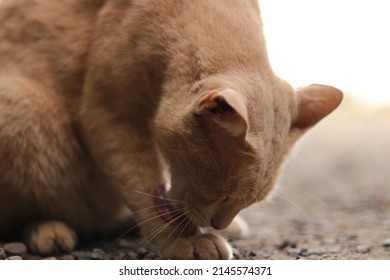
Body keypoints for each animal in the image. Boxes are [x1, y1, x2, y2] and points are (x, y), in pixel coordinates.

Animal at [0, 0, 342, 260]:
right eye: (223, 193)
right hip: (28, 115)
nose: (219, 224)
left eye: (251, 200)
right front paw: (183, 238)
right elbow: (142, 184)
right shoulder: (109, 114)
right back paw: (49, 230)